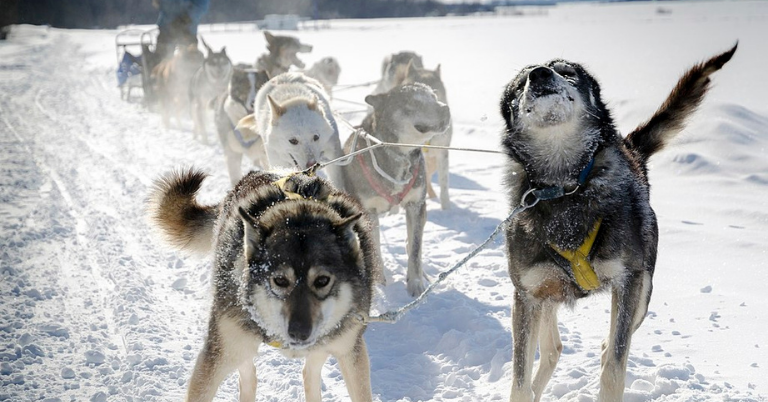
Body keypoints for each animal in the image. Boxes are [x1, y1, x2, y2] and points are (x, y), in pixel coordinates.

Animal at [148, 170, 380, 402]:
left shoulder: (350, 350)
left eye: (322, 281)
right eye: (280, 280)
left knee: (308, 373)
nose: (299, 333)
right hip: (238, 345)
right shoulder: (218, 355)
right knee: (249, 376)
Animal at [340, 82, 450, 296]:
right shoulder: (368, 212)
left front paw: (415, 282)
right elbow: (374, 248)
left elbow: (415, 249)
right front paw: (378, 281)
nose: (446, 108)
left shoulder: (416, 205)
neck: (399, 155)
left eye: (433, 96)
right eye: (414, 101)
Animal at [500, 44, 736, 402]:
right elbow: (519, 380)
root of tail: (631, 150)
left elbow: (613, 367)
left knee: (605, 346)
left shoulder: (628, 284)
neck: (566, 187)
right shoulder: (526, 295)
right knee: (553, 348)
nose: (539, 74)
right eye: (519, 85)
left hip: (642, 293)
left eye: (566, 71)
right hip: (546, 294)